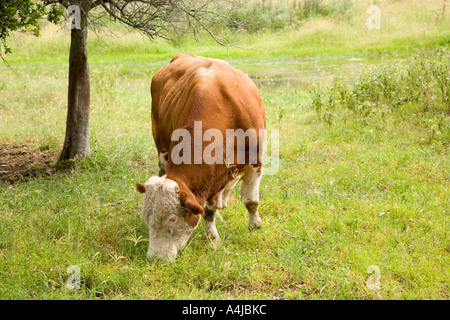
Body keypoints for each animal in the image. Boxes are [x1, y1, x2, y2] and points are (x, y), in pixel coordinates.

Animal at [135, 53, 266, 262]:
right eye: (146, 218)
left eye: (172, 219)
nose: (155, 258)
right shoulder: (211, 178)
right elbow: (208, 210)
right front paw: (213, 238)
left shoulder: (256, 160)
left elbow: (251, 200)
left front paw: (255, 226)